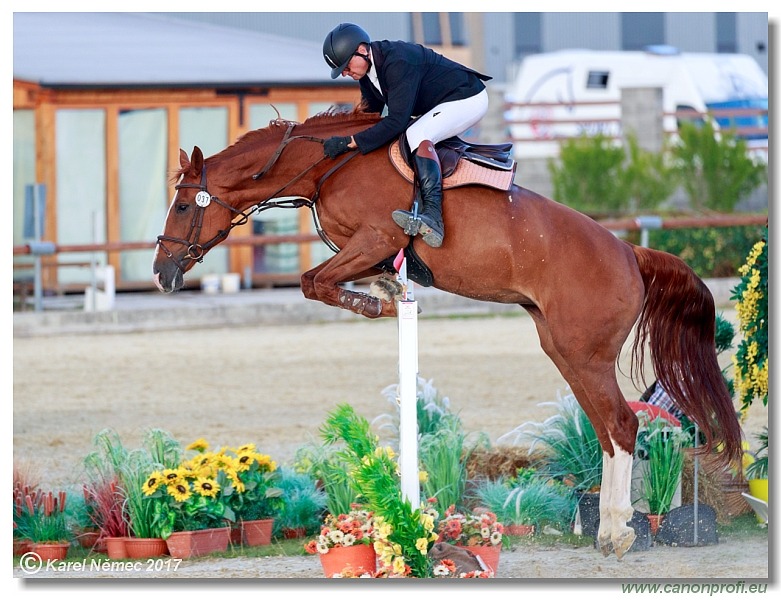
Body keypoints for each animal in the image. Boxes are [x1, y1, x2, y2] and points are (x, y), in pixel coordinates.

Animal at [154, 106, 744, 556]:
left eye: (183, 205)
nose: (162, 274)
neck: (328, 167)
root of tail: (629, 252)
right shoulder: (365, 247)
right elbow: (322, 279)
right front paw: (384, 295)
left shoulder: (374, 237)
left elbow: (313, 281)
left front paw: (373, 303)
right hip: (566, 351)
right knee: (609, 430)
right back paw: (607, 528)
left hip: (585, 354)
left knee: (622, 425)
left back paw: (618, 532)